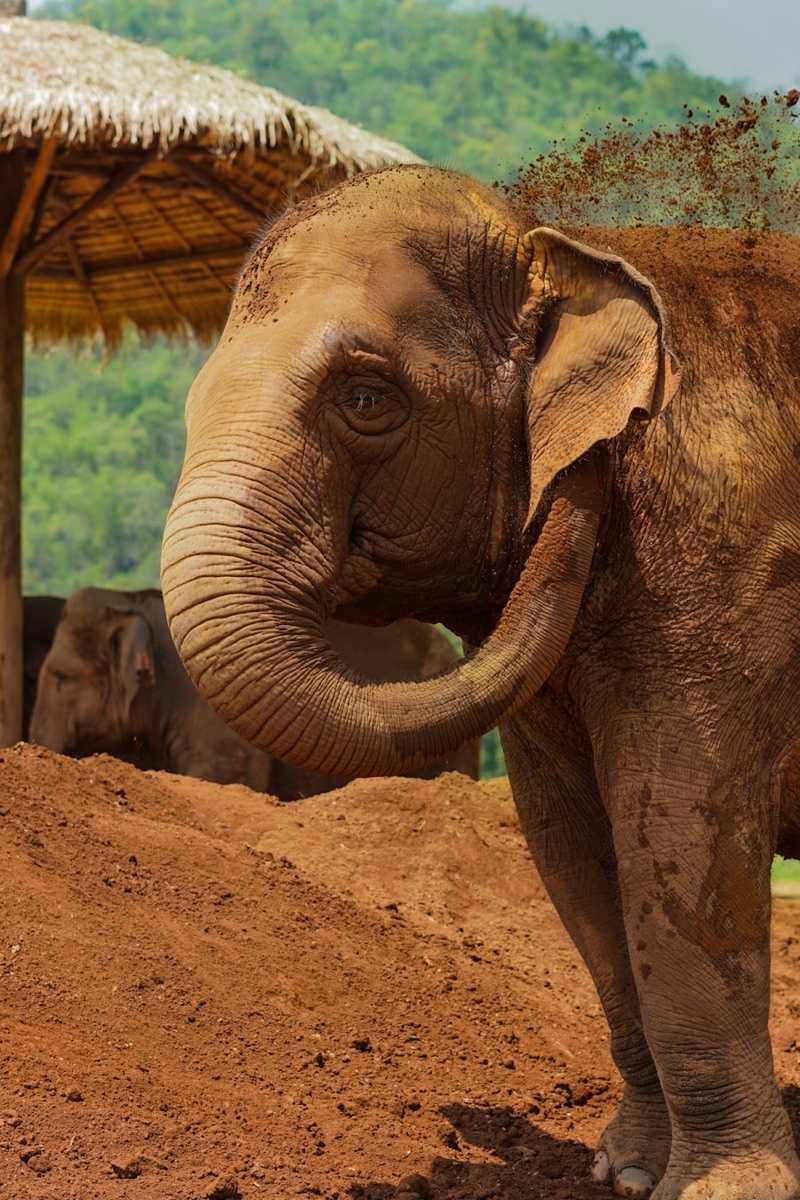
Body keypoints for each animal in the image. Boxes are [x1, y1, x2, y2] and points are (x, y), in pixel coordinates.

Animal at [161, 163, 800, 1199]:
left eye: (366, 398)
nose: (577, 482)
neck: (572, 248)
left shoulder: (732, 565)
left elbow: (680, 834)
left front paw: (718, 1192)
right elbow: (574, 852)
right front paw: (624, 1171)